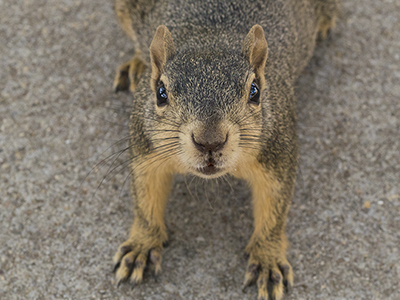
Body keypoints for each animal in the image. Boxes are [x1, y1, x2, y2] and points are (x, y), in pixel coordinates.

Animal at [111, 1, 340, 298]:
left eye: (255, 91)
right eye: (161, 93)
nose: (210, 141)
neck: (212, 38)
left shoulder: (277, 152)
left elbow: (274, 209)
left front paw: (267, 258)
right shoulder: (146, 148)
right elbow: (145, 197)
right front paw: (142, 244)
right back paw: (138, 62)